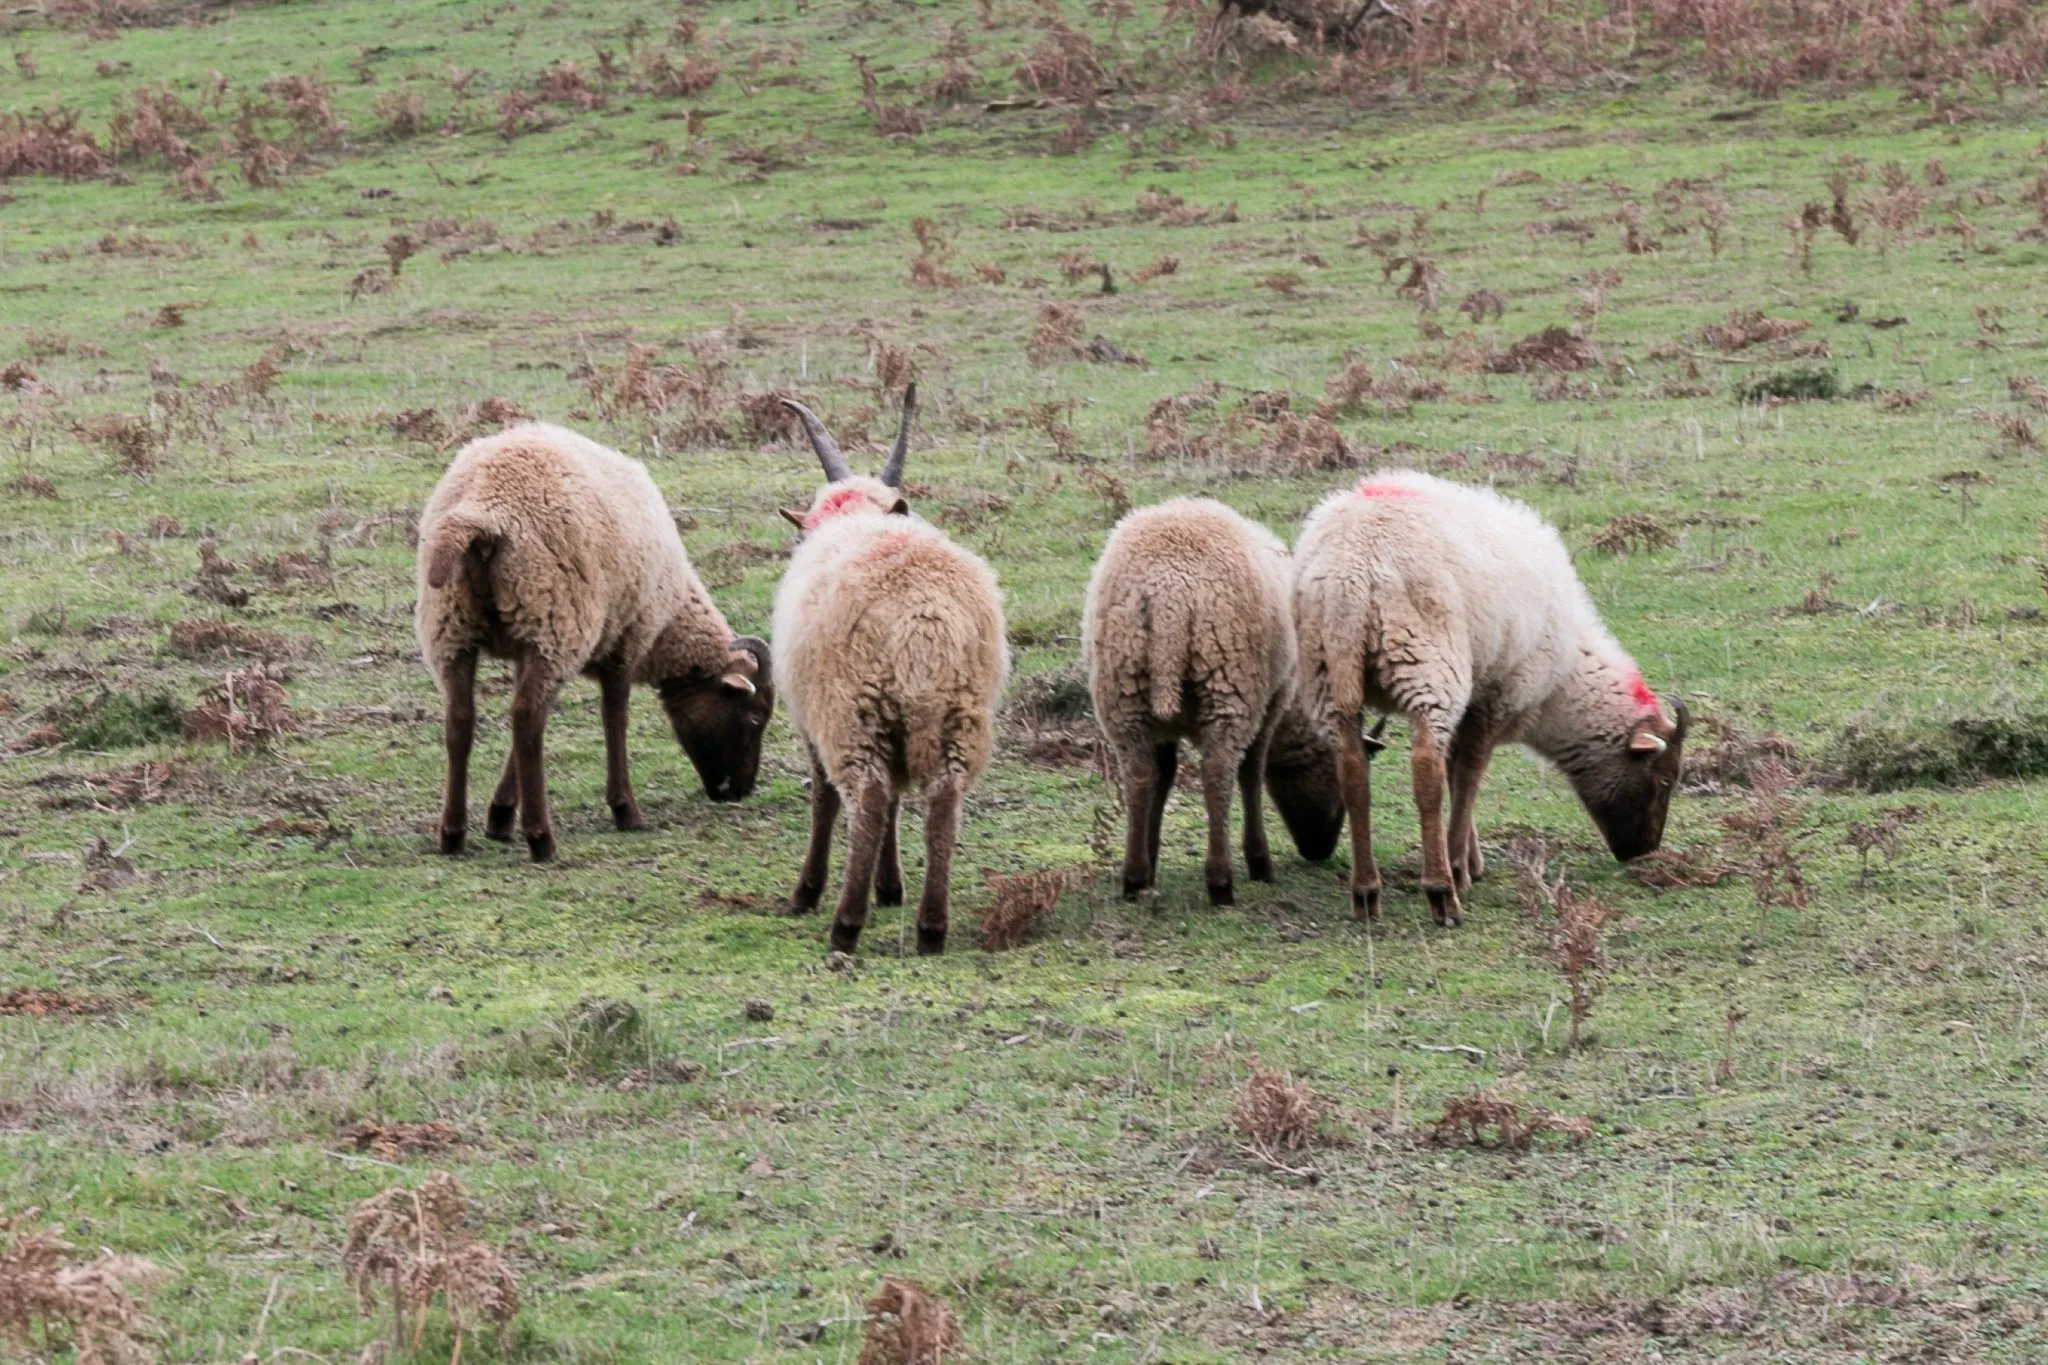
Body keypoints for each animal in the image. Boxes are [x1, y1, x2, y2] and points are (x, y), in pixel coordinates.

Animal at [415, 422, 774, 862]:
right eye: (755, 717)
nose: (740, 791)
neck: (670, 624)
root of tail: (484, 511)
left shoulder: (526, 646)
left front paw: (499, 815)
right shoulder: (625, 639)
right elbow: (614, 716)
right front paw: (625, 810)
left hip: (453, 627)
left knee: (462, 719)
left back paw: (452, 834)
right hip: (554, 620)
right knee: (526, 718)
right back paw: (540, 837)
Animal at [771, 388, 1009, 955]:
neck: (857, 517)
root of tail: (922, 618)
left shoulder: (813, 721)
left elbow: (825, 800)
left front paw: (808, 892)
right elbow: (901, 802)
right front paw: (891, 885)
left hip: (853, 711)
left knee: (870, 799)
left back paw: (844, 923)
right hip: (957, 714)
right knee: (942, 804)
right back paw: (931, 926)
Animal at [1081, 496, 1346, 904]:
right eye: (1338, 779)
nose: (1320, 852)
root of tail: (1169, 596)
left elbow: (1164, 777)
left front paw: (1152, 856)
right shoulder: (1270, 702)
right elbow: (1252, 772)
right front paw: (1259, 863)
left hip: (1123, 690)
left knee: (1139, 775)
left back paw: (1134, 877)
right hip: (1229, 682)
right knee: (1218, 771)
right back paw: (1222, 881)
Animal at [1293, 470, 1688, 927]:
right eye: (1665, 779)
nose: (1642, 853)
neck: (1563, 681)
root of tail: (1351, 574)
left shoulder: (1473, 696)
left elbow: (1456, 771)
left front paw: (1469, 856)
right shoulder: (1498, 695)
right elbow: (1467, 775)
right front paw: (1460, 864)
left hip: (1326, 671)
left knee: (1353, 771)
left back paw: (1366, 891)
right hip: (1427, 665)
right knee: (1425, 771)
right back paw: (1441, 891)